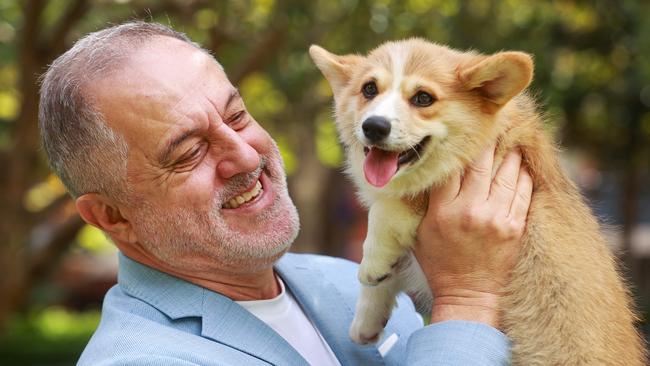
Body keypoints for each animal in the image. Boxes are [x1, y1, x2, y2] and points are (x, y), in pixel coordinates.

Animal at [308, 40, 644, 366]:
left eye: (423, 98)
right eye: (369, 89)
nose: (374, 127)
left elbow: (387, 208)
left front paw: (372, 265)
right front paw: (367, 319)